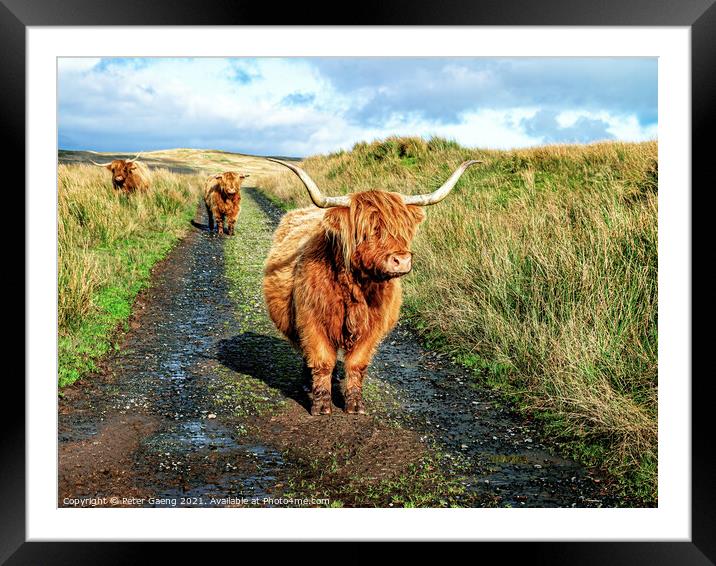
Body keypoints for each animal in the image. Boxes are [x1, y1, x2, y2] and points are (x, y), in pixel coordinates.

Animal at [262, 158, 482, 414]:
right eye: (368, 231)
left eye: (403, 229)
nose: (401, 260)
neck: (357, 288)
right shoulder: (312, 321)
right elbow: (322, 361)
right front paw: (321, 405)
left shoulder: (372, 328)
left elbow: (357, 364)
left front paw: (355, 405)